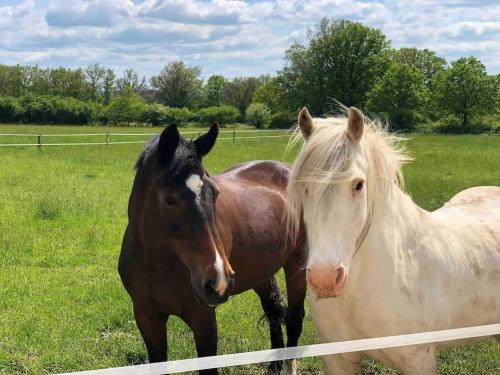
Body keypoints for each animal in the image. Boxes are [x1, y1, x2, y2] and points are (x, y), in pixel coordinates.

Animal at [119, 125, 306, 374]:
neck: (157, 263)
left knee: (294, 320)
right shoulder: (147, 317)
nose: (219, 281)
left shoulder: (203, 319)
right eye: (169, 199)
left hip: (297, 265)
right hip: (261, 273)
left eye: (215, 193)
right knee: (273, 313)